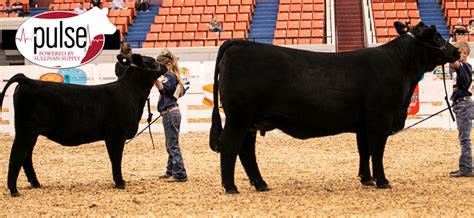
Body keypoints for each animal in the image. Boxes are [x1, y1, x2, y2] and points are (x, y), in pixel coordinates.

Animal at [0, 53, 168, 197]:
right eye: (153, 61)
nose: (165, 66)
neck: (132, 94)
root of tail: (27, 79)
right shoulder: (116, 134)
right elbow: (116, 158)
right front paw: (120, 183)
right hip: (25, 131)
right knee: (17, 154)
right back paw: (14, 190)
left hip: (32, 133)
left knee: (26, 156)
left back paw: (35, 183)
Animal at [209, 21, 462, 193]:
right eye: (437, 37)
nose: (457, 51)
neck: (399, 64)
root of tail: (237, 43)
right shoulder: (381, 118)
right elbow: (377, 151)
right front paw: (382, 181)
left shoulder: (363, 124)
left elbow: (364, 150)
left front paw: (366, 179)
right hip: (239, 117)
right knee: (230, 145)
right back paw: (230, 187)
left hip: (251, 121)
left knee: (246, 150)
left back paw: (260, 184)